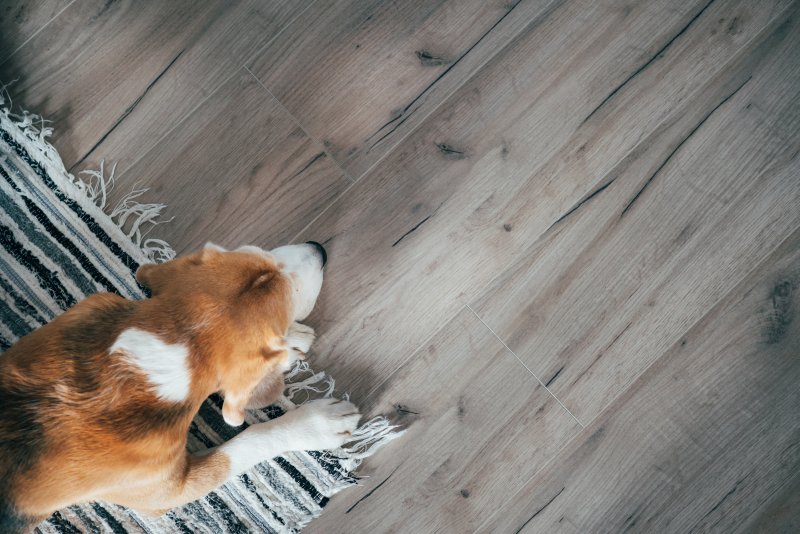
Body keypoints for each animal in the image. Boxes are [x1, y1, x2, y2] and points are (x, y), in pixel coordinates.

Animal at [0, 244, 360, 534]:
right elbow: (250, 440)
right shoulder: (171, 491)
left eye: (264, 252)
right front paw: (317, 424)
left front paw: (292, 343)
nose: (319, 249)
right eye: (294, 292)